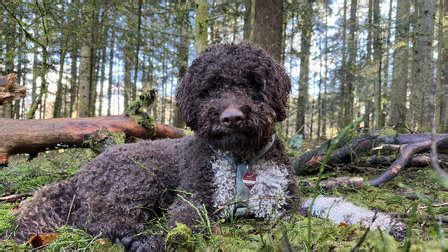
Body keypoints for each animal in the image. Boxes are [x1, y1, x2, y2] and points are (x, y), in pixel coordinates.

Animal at [11, 42, 298, 251]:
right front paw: (154, 241)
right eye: (210, 88)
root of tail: (80, 175)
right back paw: (127, 234)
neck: (241, 159)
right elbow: (182, 224)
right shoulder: (195, 197)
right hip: (144, 173)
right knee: (91, 217)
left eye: (254, 82)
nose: (232, 117)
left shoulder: (281, 203)